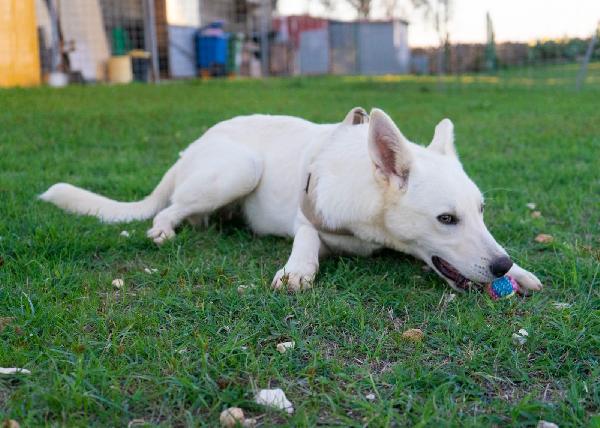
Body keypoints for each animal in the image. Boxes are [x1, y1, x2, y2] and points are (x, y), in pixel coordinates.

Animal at [38, 108, 544, 292]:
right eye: (446, 218)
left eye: (480, 212)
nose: (501, 265)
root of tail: (194, 145)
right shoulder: (309, 219)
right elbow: (307, 240)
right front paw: (298, 269)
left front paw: (519, 270)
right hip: (240, 168)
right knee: (169, 206)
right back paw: (164, 228)